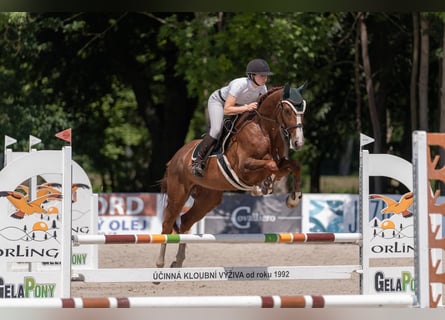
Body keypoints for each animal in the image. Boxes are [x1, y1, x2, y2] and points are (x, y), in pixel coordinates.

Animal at [156, 82, 306, 268]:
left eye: (303, 109)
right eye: (287, 110)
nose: (298, 143)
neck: (263, 130)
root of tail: (175, 158)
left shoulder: (280, 161)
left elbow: (294, 166)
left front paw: (292, 199)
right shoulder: (244, 168)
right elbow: (272, 166)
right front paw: (263, 186)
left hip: (208, 198)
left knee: (185, 221)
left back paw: (178, 261)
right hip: (178, 194)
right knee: (167, 224)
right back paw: (160, 263)